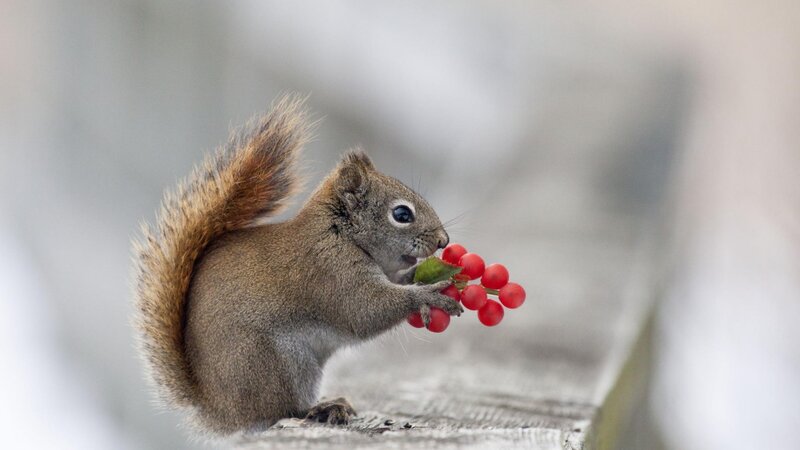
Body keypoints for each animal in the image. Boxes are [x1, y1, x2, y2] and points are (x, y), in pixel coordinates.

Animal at [132, 95, 463, 436]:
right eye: (401, 214)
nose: (443, 240)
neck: (339, 233)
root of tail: (219, 411)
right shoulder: (330, 271)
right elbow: (365, 311)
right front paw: (428, 295)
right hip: (279, 363)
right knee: (281, 410)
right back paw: (321, 409)